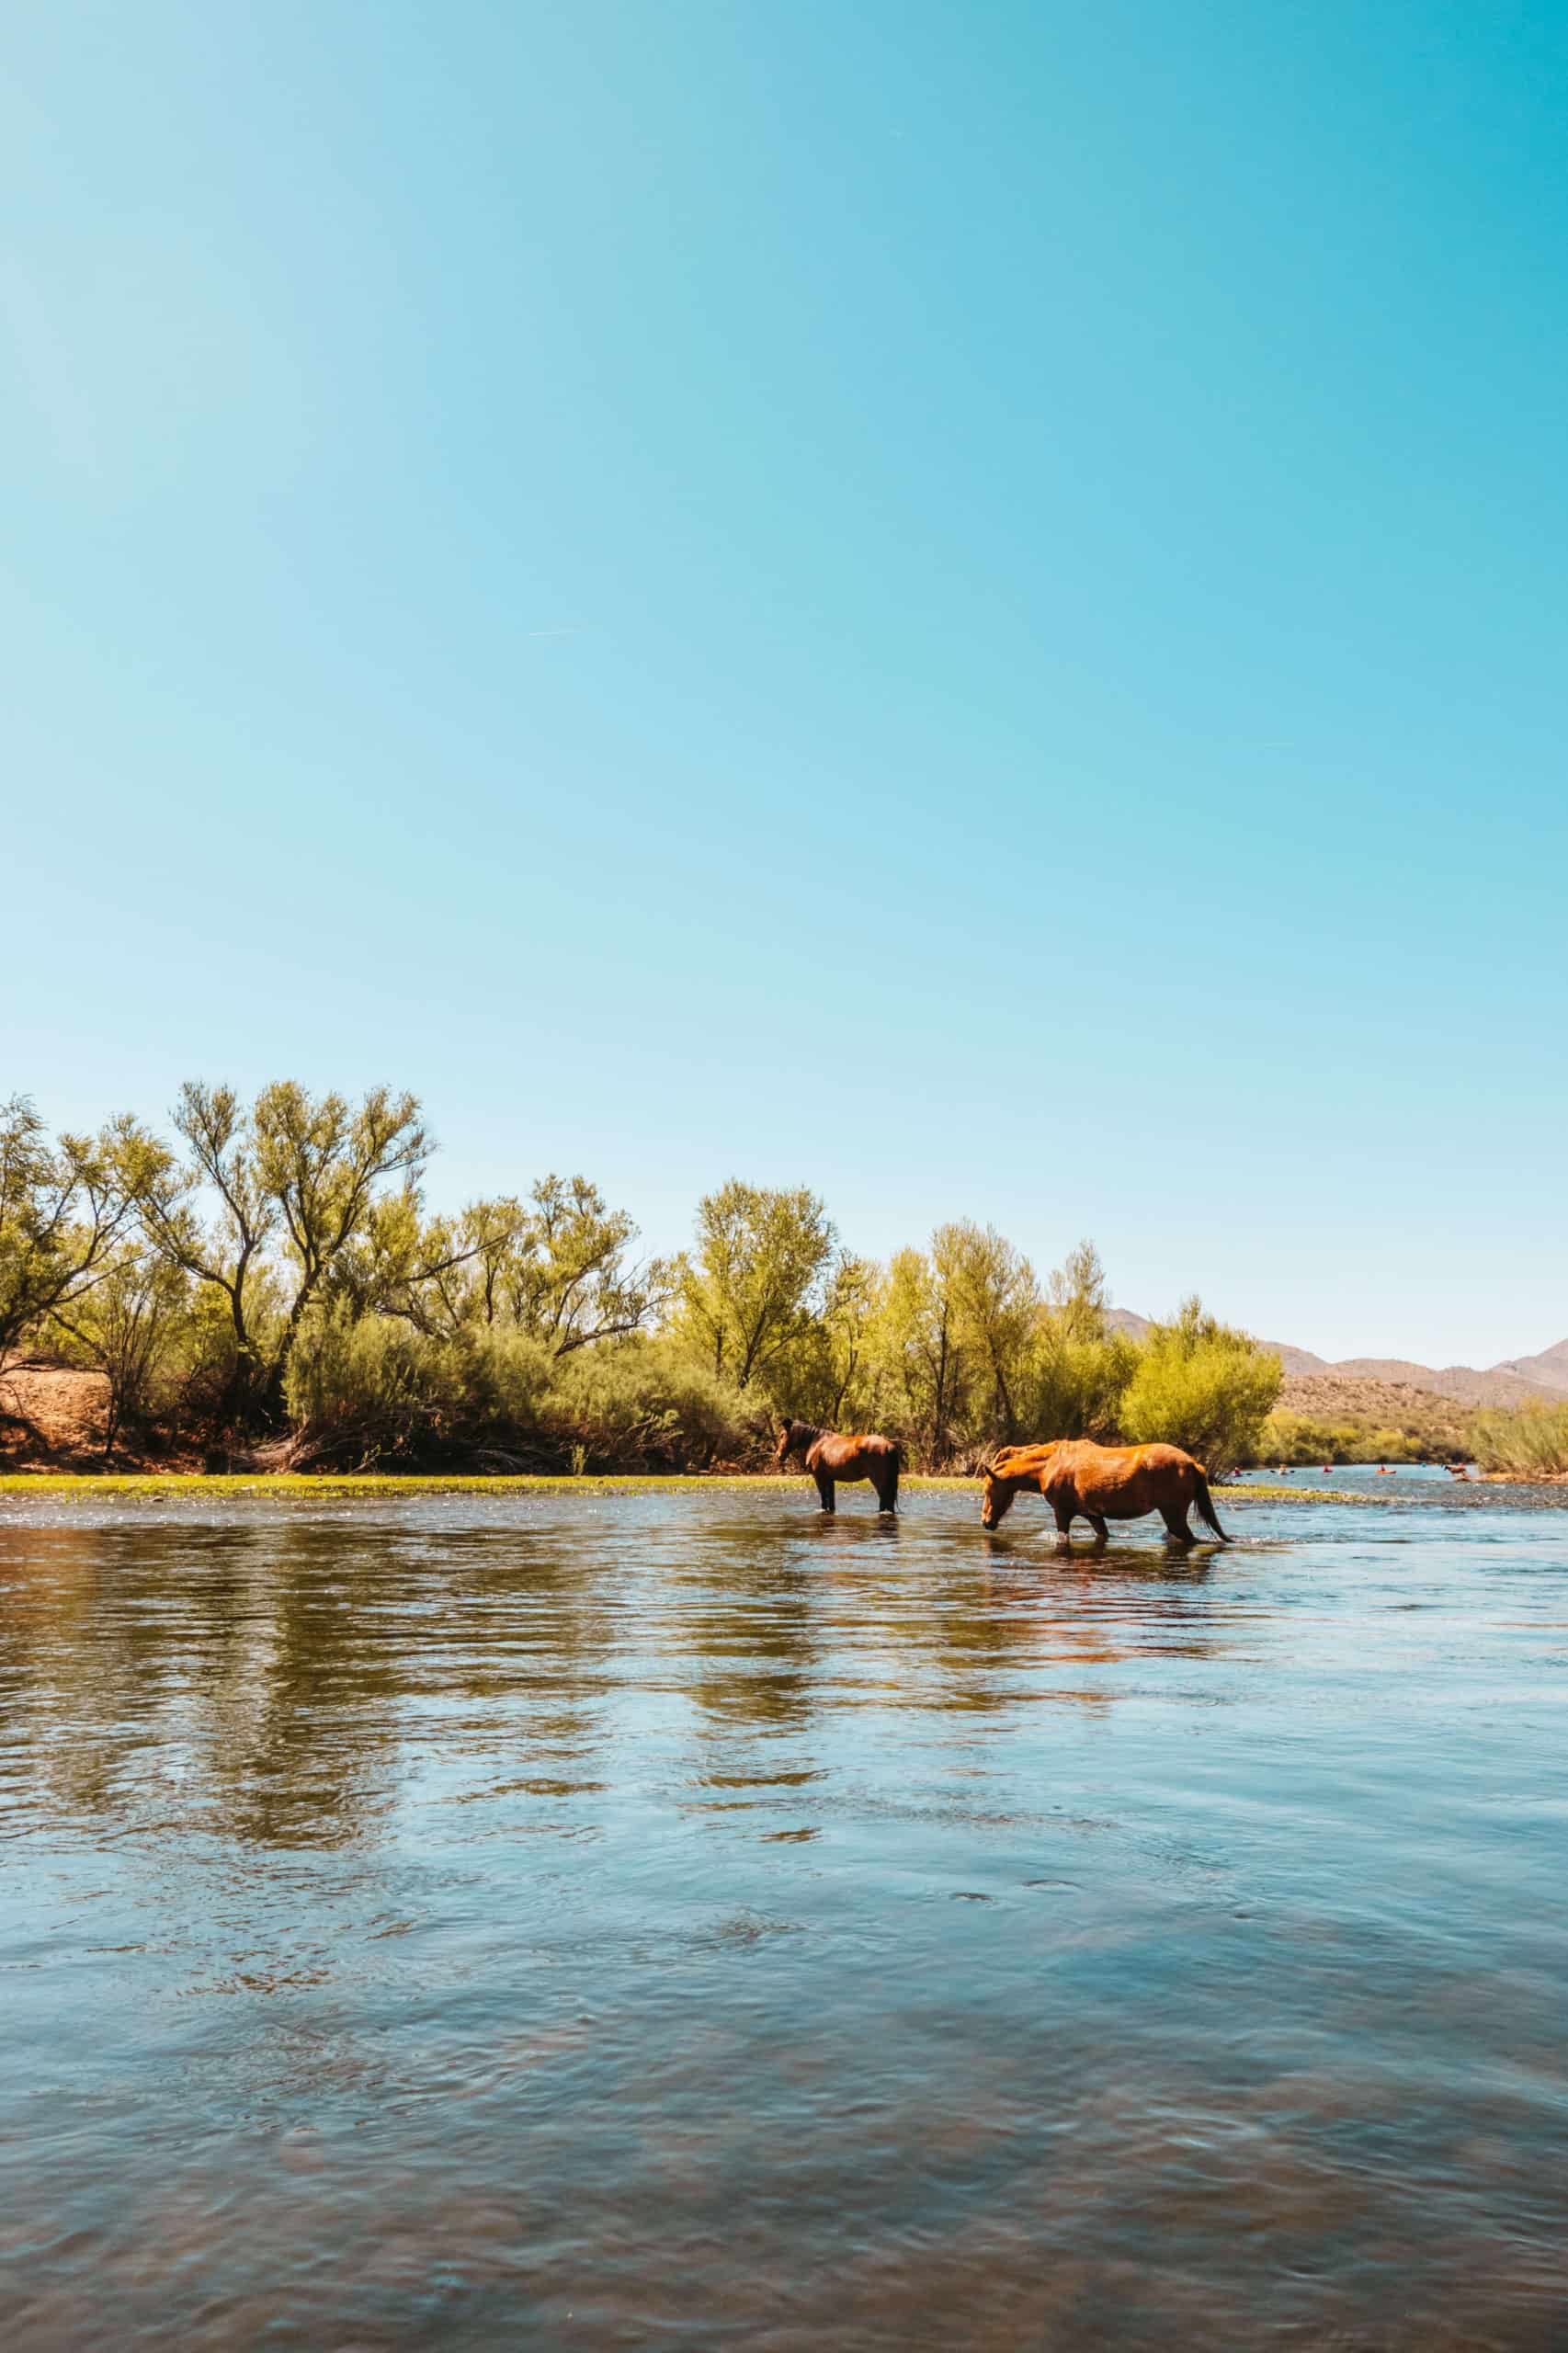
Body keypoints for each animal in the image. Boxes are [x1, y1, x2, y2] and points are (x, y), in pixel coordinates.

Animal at [772, 1421, 899, 1515]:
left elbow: (824, 1500)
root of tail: (888, 1445)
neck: (817, 1443)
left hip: (877, 1480)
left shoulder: (819, 1478)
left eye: (782, 1435)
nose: (779, 1456)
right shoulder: (830, 1479)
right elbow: (831, 1503)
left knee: (884, 1500)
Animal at [979, 1430, 1224, 1543]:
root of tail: (1193, 1464)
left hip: (1174, 1515)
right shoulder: (1093, 1515)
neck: (1047, 1467)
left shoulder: (1062, 1512)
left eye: (988, 1490)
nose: (985, 1522)